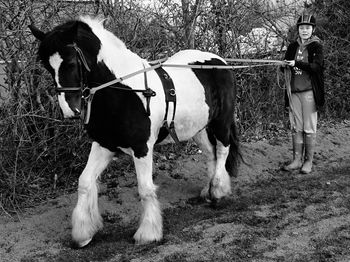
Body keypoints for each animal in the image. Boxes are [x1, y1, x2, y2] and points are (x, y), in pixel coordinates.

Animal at [29, 15, 241, 248]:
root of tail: (219, 61)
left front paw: (148, 233)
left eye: (71, 62)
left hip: (221, 122)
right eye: (48, 66)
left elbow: (145, 189)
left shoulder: (142, 148)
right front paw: (83, 234)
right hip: (198, 128)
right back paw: (208, 190)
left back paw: (218, 191)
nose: (70, 111)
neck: (127, 92)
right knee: (211, 154)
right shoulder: (104, 145)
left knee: (222, 151)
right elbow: (84, 182)